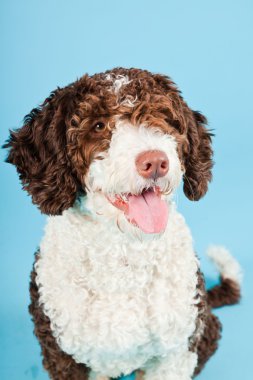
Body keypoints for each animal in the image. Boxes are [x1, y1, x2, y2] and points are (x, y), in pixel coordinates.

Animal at [3, 68, 241, 380]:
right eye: (99, 125)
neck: (122, 257)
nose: (155, 162)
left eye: (162, 117)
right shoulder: (61, 354)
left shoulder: (176, 353)